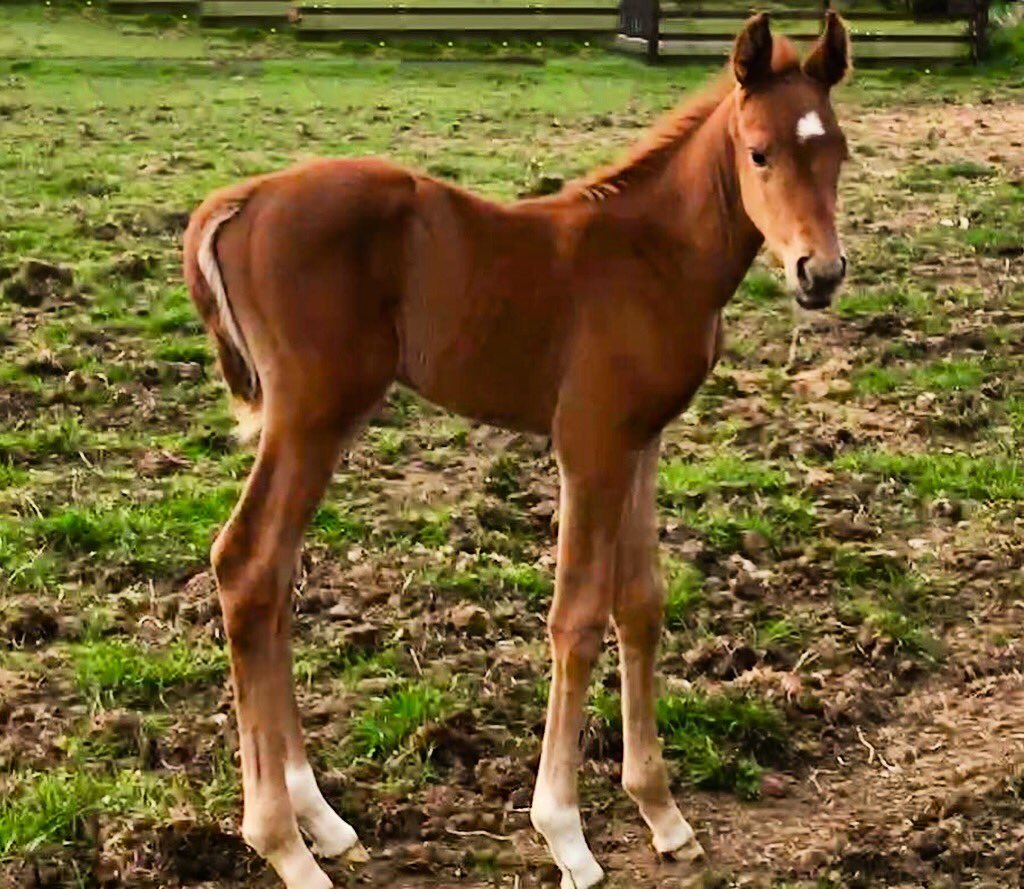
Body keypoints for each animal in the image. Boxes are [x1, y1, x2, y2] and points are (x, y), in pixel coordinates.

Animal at [182, 12, 851, 888]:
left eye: (838, 150)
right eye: (760, 151)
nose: (821, 271)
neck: (652, 255)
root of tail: (239, 200)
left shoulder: (643, 438)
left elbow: (641, 602)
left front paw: (663, 814)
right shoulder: (590, 442)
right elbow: (577, 616)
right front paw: (565, 832)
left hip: (321, 422)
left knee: (274, 577)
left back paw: (322, 821)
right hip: (311, 415)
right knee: (248, 564)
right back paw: (285, 843)